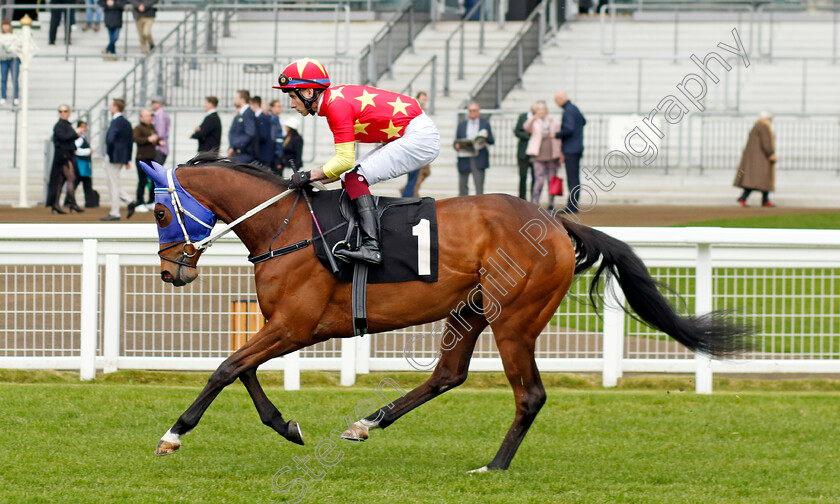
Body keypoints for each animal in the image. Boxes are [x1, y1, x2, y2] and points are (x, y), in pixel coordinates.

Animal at [143, 157, 748, 472]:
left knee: (529, 395)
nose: (171, 274)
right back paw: (366, 423)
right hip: (470, 311)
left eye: (158, 211)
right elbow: (242, 369)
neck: (284, 227)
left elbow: (226, 368)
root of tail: (556, 223)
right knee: (448, 374)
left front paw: (173, 434)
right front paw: (286, 426)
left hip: (514, 319)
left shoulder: (296, 324)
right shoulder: (283, 325)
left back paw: (494, 466)